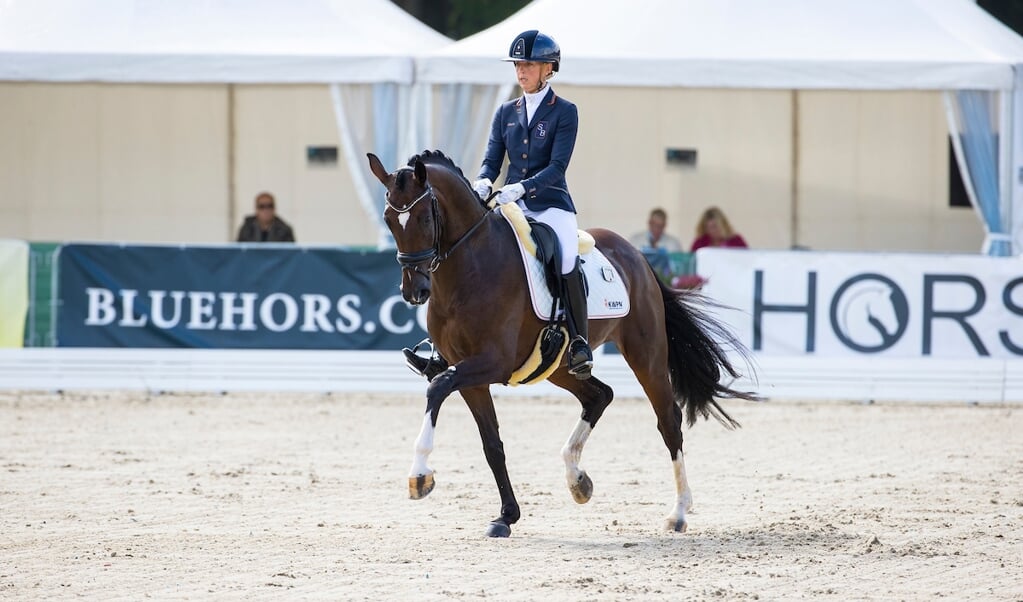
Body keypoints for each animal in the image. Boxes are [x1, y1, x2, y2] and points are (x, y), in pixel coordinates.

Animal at [366, 149, 752, 536]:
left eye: (422, 216)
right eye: (388, 219)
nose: (414, 291)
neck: (469, 268)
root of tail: (636, 254)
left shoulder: (492, 362)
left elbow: (437, 388)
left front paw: (419, 476)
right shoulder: (469, 375)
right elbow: (491, 444)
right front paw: (506, 516)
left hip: (647, 356)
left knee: (668, 421)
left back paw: (679, 511)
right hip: (558, 366)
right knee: (599, 395)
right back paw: (577, 479)